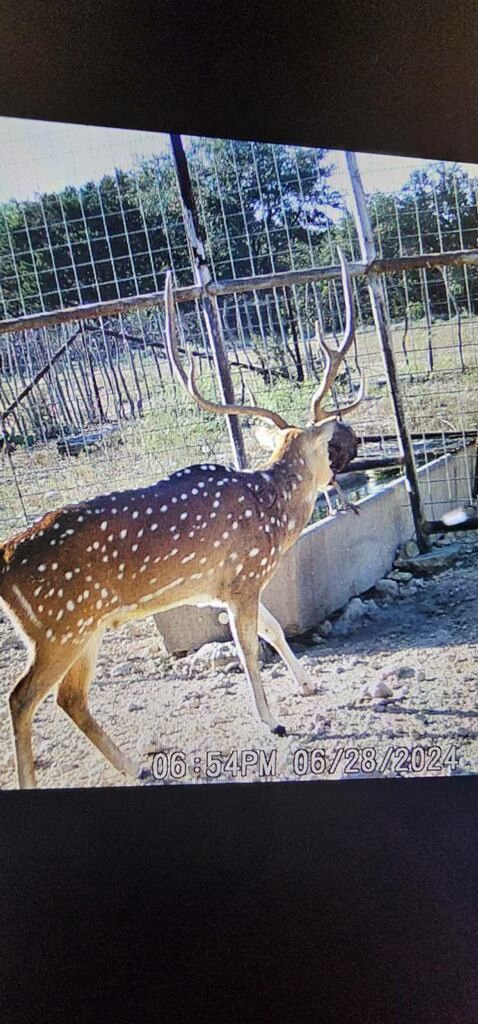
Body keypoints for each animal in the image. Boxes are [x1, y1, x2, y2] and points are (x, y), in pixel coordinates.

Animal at [0, 249, 362, 790]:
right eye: (333, 437)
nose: (357, 440)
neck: (274, 513)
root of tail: (4, 559)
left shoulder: (223, 586)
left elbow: (275, 630)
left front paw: (310, 684)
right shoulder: (245, 575)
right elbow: (249, 648)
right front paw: (273, 721)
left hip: (85, 627)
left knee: (70, 697)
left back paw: (134, 764)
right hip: (60, 626)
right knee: (22, 697)